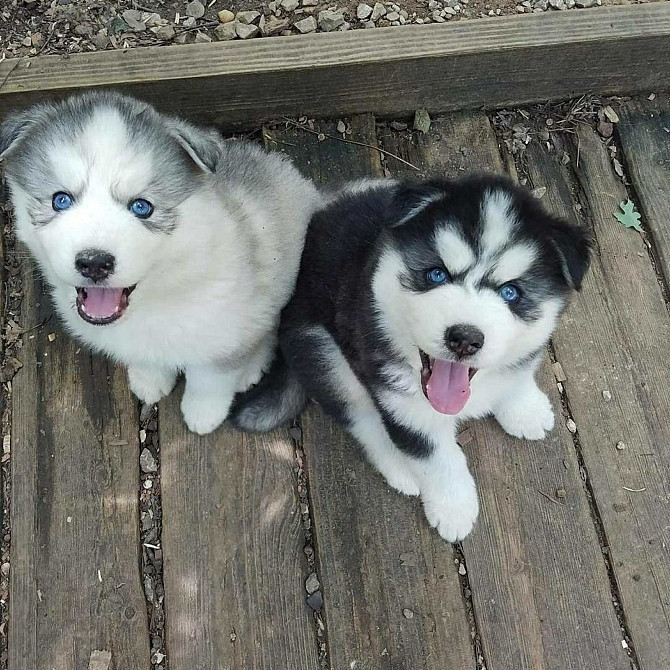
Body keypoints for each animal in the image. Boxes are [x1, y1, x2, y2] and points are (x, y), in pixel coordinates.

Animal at [0, 90, 322, 436]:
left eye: (142, 207)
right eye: (60, 200)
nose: (94, 262)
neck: (158, 294)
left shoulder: (227, 333)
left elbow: (210, 379)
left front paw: (203, 413)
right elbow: (148, 357)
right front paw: (150, 380)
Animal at [234, 176, 592, 544]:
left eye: (511, 292)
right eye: (436, 275)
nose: (464, 338)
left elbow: (518, 373)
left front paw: (525, 408)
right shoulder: (406, 405)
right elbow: (437, 459)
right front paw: (454, 508)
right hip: (324, 353)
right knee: (362, 418)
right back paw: (400, 467)